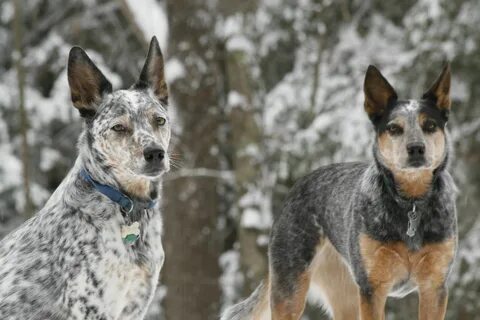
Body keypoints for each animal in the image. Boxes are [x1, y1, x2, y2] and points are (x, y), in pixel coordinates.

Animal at [0, 36, 172, 318]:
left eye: (159, 120)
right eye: (118, 127)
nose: (156, 153)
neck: (126, 203)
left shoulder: (136, 306)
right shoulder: (91, 305)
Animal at [224, 63, 458, 318]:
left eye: (430, 125)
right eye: (394, 128)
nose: (416, 148)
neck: (411, 204)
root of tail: (297, 186)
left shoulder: (434, 286)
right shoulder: (372, 288)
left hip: (344, 295)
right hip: (291, 288)